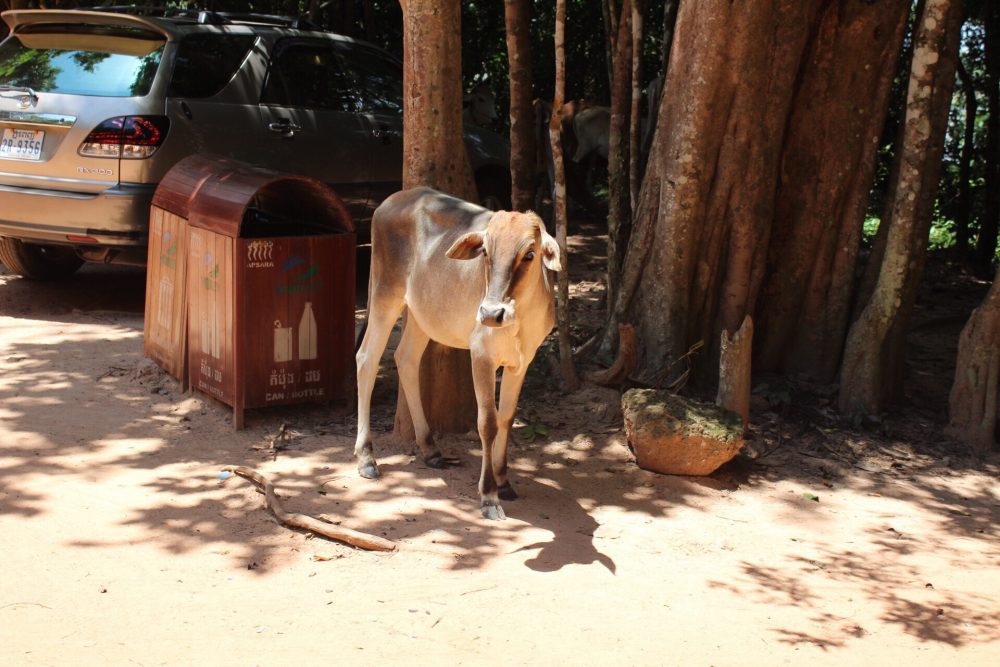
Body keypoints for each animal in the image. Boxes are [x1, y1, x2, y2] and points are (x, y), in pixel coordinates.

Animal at [354, 187, 561, 520]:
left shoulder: (522, 361)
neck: (518, 320)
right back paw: (366, 458)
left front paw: (504, 482)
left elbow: (507, 418)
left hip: (421, 313)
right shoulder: (481, 355)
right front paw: (489, 496)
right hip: (385, 294)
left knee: (406, 358)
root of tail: (390, 201)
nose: (491, 313)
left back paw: (431, 450)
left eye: (530, 254)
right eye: (486, 252)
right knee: (367, 359)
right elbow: (487, 422)